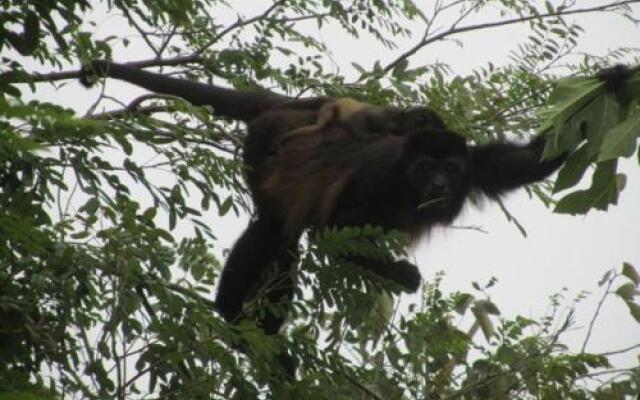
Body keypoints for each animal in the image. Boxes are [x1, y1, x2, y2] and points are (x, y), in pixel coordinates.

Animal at [79, 60, 580, 334]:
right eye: (425, 169)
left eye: (450, 170)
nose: (438, 186)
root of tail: (285, 109)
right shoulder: (378, 180)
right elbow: (335, 230)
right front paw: (402, 274)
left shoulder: (475, 164)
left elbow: (531, 161)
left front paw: (599, 95)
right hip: (263, 146)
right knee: (277, 231)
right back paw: (240, 323)